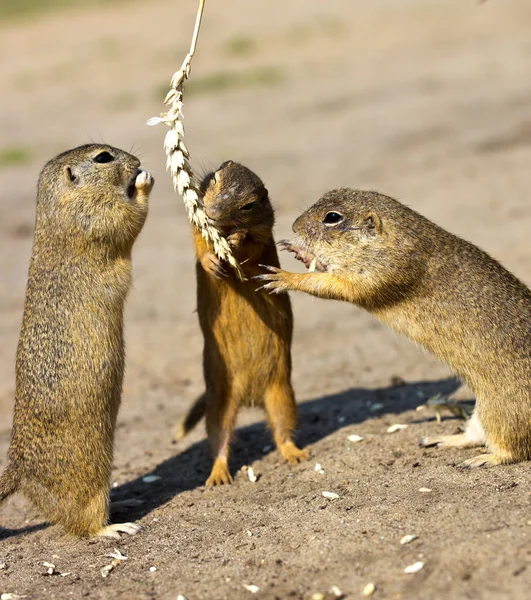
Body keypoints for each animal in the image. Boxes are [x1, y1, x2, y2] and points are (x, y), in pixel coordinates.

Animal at [0, 143, 154, 536]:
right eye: (103, 157)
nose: (135, 160)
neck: (60, 208)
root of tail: (19, 468)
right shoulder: (97, 218)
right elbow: (128, 218)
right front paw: (143, 180)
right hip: (88, 476)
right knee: (82, 523)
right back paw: (114, 527)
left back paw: (124, 504)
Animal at [176, 161, 308, 488]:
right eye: (214, 180)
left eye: (248, 204)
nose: (211, 211)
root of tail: (250, 397)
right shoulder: (199, 227)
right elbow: (201, 243)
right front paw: (213, 262)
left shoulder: (263, 234)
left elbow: (252, 244)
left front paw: (236, 239)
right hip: (220, 404)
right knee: (220, 440)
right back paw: (217, 476)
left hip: (282, 393)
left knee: (282, 430)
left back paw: (296, 455)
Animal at [256, 188, 531, 468]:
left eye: (332, 217)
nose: (294, 225)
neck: (405, 235)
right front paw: (298, 251)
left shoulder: (377, 274)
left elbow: (327, 284)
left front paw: (283, 277)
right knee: (475, 435)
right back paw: (440, 439)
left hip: (502, 412)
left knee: (511, 450)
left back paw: (484, 458)